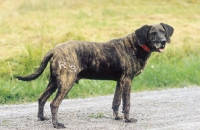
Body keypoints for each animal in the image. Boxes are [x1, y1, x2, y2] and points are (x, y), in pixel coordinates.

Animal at [16, 22, 173, 128]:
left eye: (163, 32)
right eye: (152, 33)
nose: (163, 42)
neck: (136, 45)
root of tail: (55, 49)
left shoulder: (120, 82)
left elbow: (116, 102)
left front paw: (117, 117)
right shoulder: (127, 81)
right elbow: (127, 103)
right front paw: (127, 120)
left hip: (54, 82)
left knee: (41, 98)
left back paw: (42, 118)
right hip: (67, 82)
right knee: (54, 103)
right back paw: (57, 124)